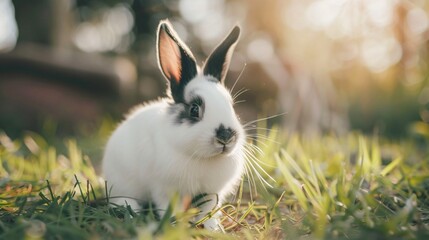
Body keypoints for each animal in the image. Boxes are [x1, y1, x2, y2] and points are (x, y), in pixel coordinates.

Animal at [101, 19, 244, 231]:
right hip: (121, 182)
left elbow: (208, 211)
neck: (202, 157)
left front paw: (213, 228)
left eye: (231, 105)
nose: (226, 136)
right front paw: (174, 225)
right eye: (194, 109)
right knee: (121, 199)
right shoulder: (164, 189)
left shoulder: (212, 193)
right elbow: (167, 207)